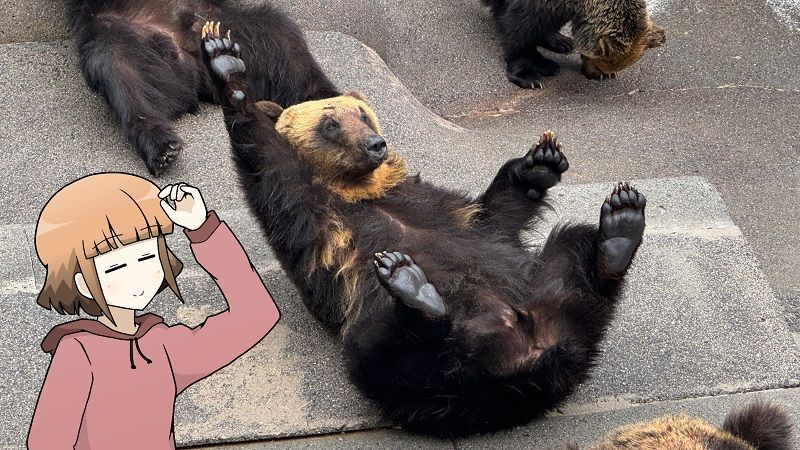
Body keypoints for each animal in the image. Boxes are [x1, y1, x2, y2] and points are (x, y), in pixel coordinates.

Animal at [201, 27, 647, 435]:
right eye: (329, 123)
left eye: (362, 114)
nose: (375, 144)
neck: (359, 191)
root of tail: (529, 361)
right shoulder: (310, 217)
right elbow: (266, 161)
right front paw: (226, 65)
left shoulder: (430, 203)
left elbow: (492, 218)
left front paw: (540, 161)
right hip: (396, 342)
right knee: (391, 360)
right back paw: (413, 290)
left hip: (542, 285)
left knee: (573, 250)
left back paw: (618, 231)